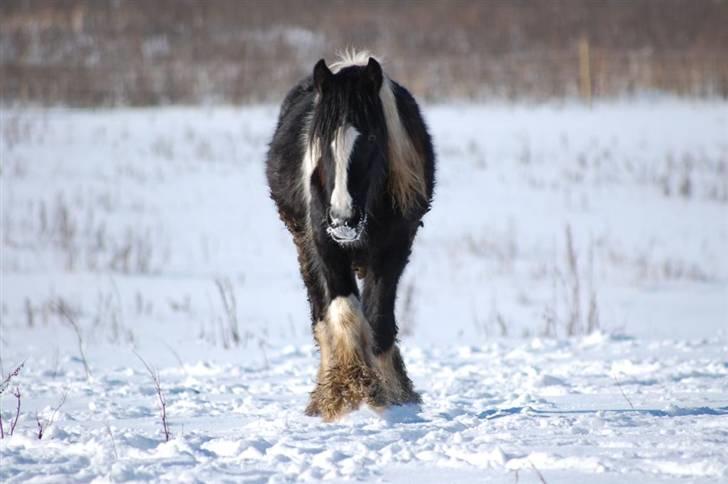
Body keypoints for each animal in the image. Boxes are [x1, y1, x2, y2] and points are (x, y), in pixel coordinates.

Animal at [268, 50, 438, 420]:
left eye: (372, 138)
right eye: (322, 141)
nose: (342, 219)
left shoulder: (394, 248)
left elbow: (378, 322)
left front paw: (390, 394)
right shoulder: (325, 246)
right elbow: (345, 312)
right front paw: (346, 392)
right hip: (304, 247)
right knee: (321, 318)